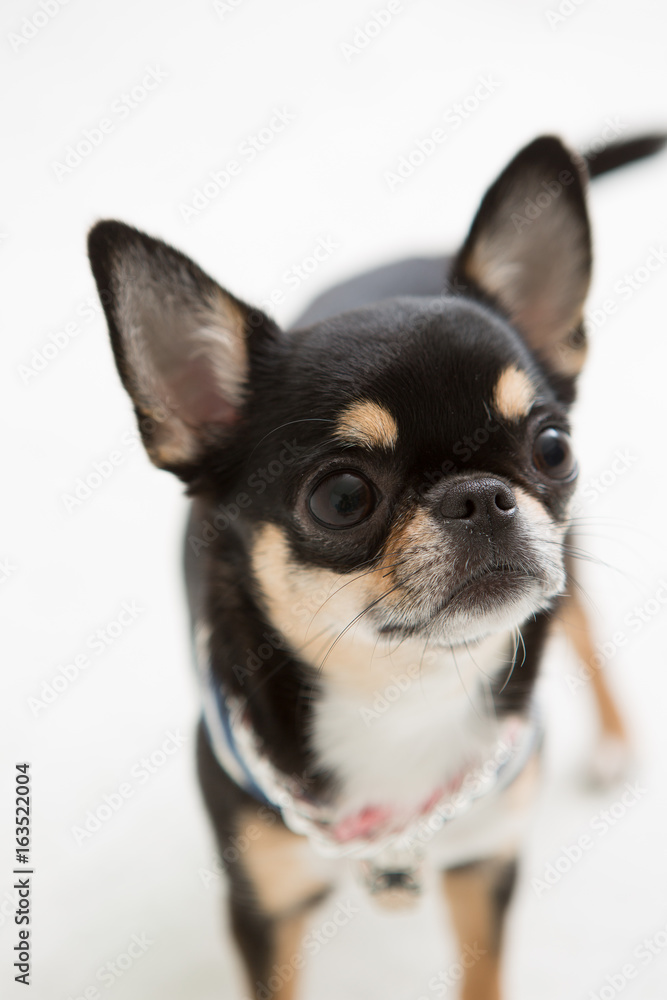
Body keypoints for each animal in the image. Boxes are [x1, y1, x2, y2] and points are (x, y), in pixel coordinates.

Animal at [87, 135, 664, 1000]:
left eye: (552, 447)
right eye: (342, 498)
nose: (480, 496)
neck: (402, 695)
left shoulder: (484, 866)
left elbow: (482, 978)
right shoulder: (263, 907)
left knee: (583, 624)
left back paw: (615, 739)